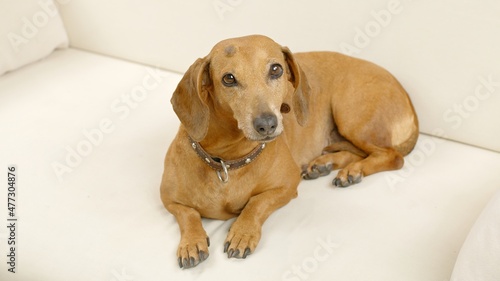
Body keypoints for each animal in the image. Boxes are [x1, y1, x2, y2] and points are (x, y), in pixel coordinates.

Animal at [161, 34, 418, 266]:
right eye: (228, 78)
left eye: (276, 69)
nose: (267, 124)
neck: (227, 161)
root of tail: (407, 97)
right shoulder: (169, 199)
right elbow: (189, 214)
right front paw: (191, 242)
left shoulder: (286, 186)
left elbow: (256, 203)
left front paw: (243, 231)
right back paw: (326, 165)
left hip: (350, 116)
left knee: (392, 156)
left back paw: (354, 171)